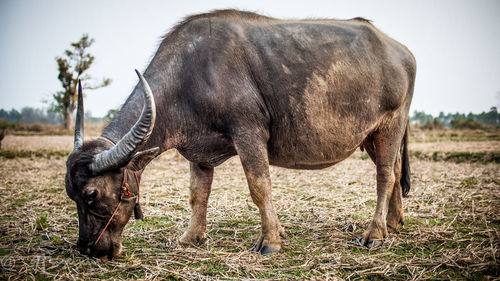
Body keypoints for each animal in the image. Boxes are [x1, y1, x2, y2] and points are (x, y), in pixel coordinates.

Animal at [67, 9, 418, 258]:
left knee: (385, 175)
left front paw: (270, 240)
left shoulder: (248, 133)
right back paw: (394, 223)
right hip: (372, 137)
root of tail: (401, 52)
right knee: (395, 169)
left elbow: (259, 187)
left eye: (92, 195)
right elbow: (198, 195)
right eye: (72, 195)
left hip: (390, 125)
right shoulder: (199, 153)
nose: (88, 249)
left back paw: (374, 233)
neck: (188, 78)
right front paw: (191, 238)